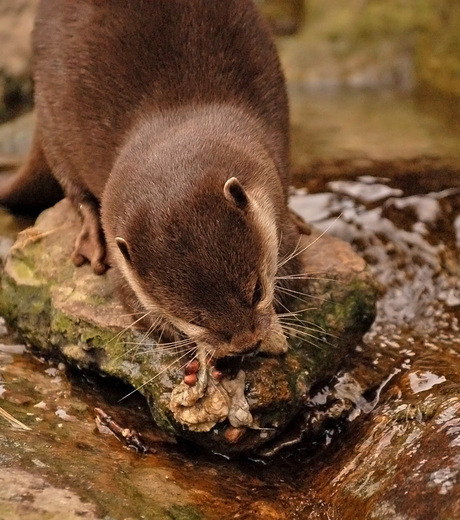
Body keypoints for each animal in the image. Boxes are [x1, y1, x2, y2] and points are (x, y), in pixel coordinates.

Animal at [0, 1, 306, 366]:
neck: (178, 115)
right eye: (194, 318)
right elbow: (135, 306)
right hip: (52, 115)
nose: (246, 343)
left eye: (256, 290)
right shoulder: (122, 265)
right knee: (73, 188)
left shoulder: (276, 210)